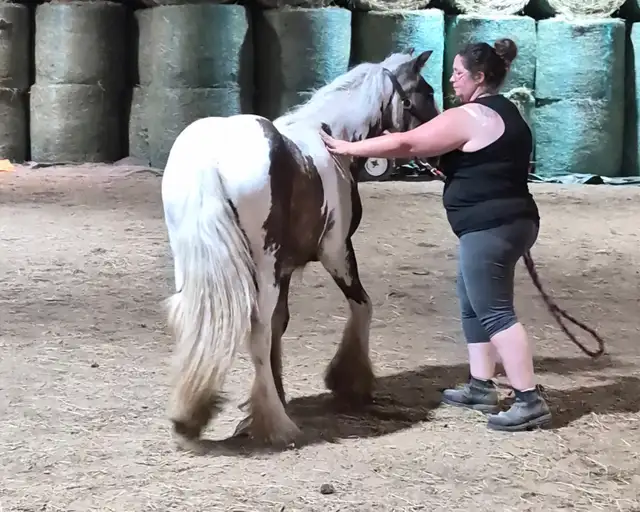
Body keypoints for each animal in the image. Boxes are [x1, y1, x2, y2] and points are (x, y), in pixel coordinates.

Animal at [160, 49, 439, 453]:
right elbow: (362, 306)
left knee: (192, 318)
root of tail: (211, 158)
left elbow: (281, 324)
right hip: (264, 266)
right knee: (256, 330)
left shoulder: (286, 268)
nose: (442, 151)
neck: (331, 141)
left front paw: (275, 392)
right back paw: (277, 425)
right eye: (427, 92)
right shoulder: (336, 251)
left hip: (193, 263)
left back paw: (191, 418)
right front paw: (349, 382)